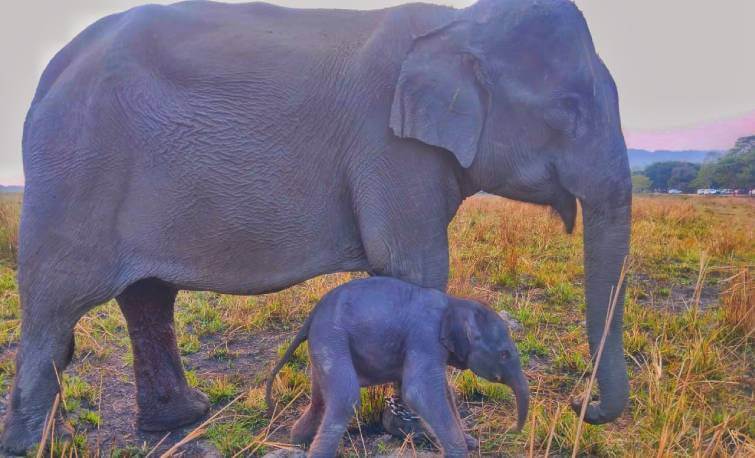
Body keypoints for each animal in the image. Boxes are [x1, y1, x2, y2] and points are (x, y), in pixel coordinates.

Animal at [268, 276, 532, 458]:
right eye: (504, 354)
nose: (513, 430)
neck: (455, 303)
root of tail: (312, 315)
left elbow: (445, 392)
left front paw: (469, 443)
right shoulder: (424, 337)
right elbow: (419, 391)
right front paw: (459, 451)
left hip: (323, 341)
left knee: (320, 398)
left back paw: (298, 439)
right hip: (332, 335)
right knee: (345, 396)